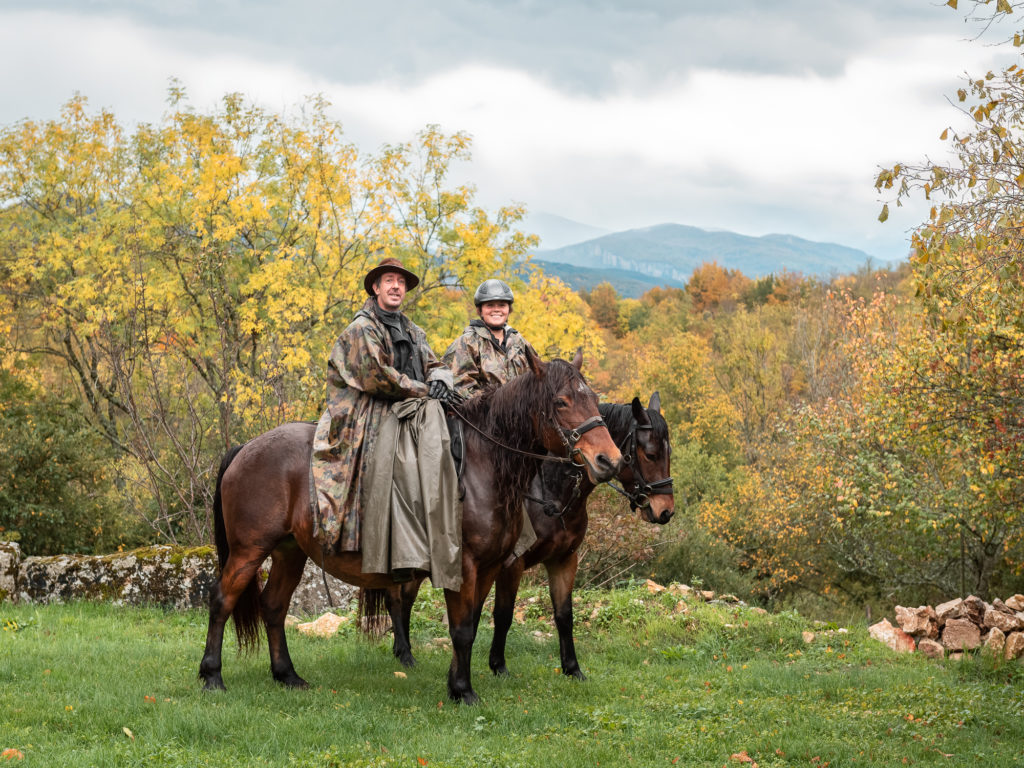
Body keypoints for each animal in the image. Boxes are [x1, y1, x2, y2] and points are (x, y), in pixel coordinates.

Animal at [195, 352, 618, 708]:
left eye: (593, 399)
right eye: (561, 402)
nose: (609, 460)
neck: (482, 465)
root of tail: (246, 447)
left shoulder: (490, 567)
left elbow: (473, 624)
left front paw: (456, 684)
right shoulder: (462, 565)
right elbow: (462, 629)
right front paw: (463, 691)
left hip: (289, 552)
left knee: (273, 606)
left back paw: (286, 675)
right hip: (249, 550)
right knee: (222, 600)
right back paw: (212, 676)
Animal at [385, 397, 671, 679]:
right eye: (650, 454)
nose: (665, 510)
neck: (550, 493)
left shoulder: (564, 560)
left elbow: (564, 616)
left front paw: (572, 668)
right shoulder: (512, 564)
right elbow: (503, 615)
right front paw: (498, 665)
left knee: (405, 599)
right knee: (397, 599)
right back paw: (405, 654)